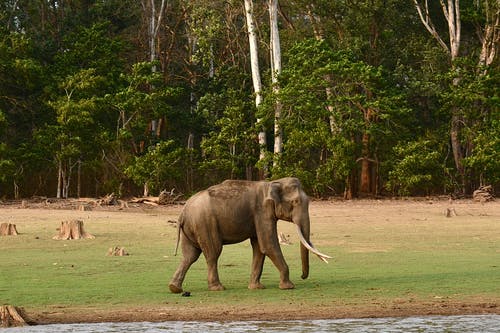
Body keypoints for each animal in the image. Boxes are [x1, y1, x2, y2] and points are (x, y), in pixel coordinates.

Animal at [169, 175, 332, 292]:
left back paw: (175, 288)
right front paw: (288, 287)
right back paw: (218, 288)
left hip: (193, 228)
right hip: (205, 223)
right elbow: (268, 244)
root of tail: (183, 213)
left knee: (190, 255)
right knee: (213, 253)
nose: (302, 276)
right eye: (296, 202)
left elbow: (259, 247)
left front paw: (256, 288)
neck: (272, 183)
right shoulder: (262, 212)